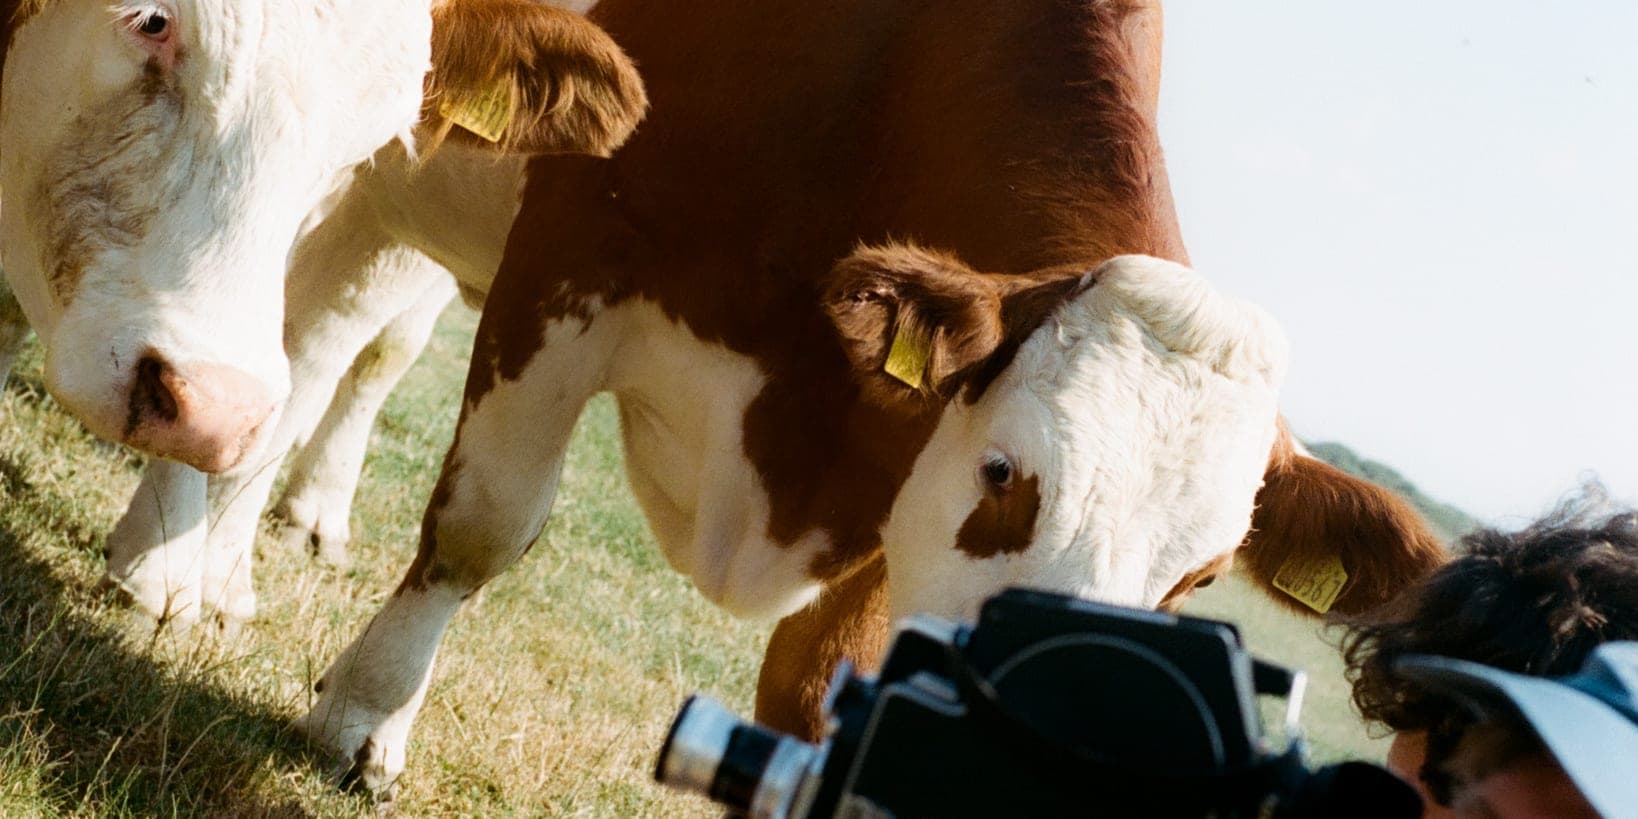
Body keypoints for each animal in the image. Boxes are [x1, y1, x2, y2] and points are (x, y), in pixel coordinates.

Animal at [286, 0, 1450, 794]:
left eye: (1203, 579)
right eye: (1004, 474)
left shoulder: (901, 464)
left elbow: (815, 685)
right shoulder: (574, 250)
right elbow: (485, 521)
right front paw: (367, 718)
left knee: (345, 344)